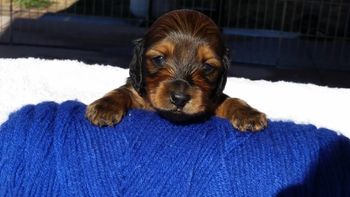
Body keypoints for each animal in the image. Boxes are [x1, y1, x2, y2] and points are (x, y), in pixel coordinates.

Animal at [86, 9, 266, 132]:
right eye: (159, 59)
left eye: (207, 67)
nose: (179, 99)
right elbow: (122, 91)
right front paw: (105, 107)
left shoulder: (211, 102)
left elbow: (231, 100)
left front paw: (248, 114)